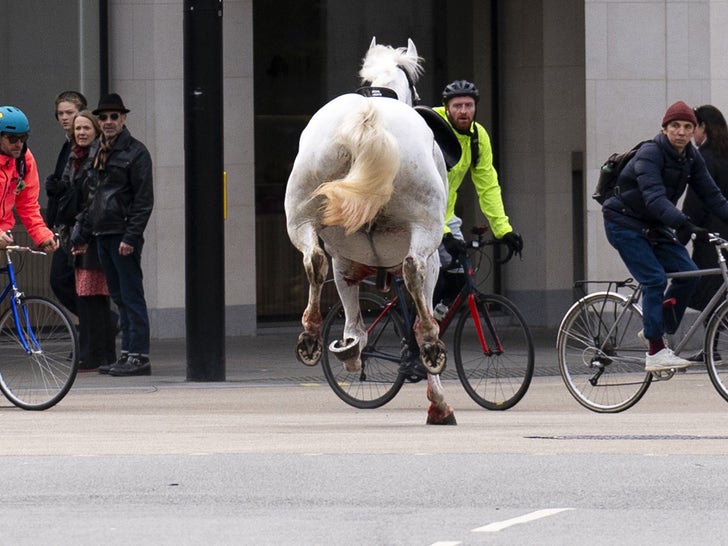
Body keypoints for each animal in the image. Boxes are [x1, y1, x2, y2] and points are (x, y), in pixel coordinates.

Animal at [284, 38, 455, 425]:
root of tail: (368, 116)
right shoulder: (434, 262)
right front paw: (438, 402)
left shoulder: (345, 262)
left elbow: (350, 312)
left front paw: (350, 346)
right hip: (424, 227)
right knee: (413, 268)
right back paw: (429, 345)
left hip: (301, 215)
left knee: (314, 260)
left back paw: (312, 335)